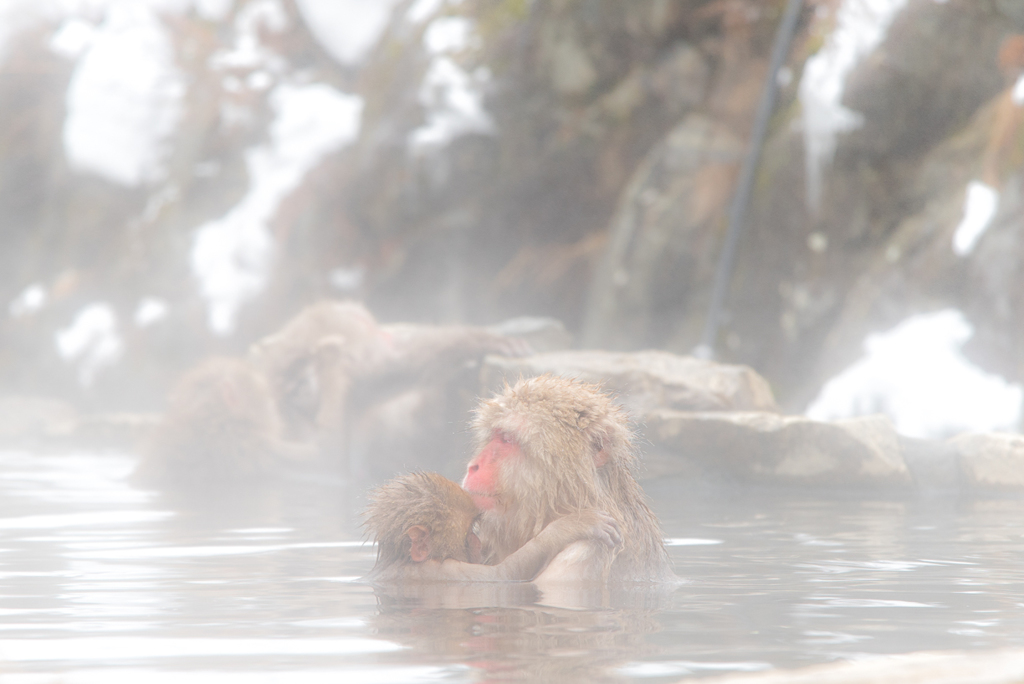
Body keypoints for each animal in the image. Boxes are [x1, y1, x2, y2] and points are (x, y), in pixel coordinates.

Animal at [368, 473, 622, 581]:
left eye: (474, 528)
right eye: (468, 532)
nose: (477, 542)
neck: (402, 559)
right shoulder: (444, 571)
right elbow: (503, 576)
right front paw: (571, 525)